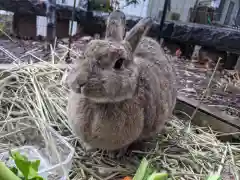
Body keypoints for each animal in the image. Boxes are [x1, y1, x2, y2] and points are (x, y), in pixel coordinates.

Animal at [66, 10, 177, 155]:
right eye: (86, 51)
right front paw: (88, 147)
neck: (99, 103)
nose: (79, 82)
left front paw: (116, 153)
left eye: (119, 63)